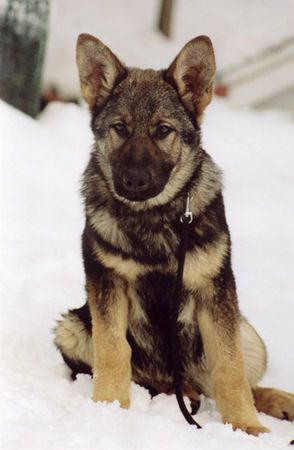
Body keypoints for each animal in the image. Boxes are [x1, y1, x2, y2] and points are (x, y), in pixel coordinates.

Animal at [54, 33, 294, 434]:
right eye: (120, 128)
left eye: (163, 130)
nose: (133, 181)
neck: (154, 217)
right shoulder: (107, 283)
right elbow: (113, 350)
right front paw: (108, 408)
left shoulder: (214, 290)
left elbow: (230, 368)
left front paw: (246, 427)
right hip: (71, 327)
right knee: (155, 380)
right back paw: (180, 394)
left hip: (248, 335)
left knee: (231, 379)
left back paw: (277, 401)